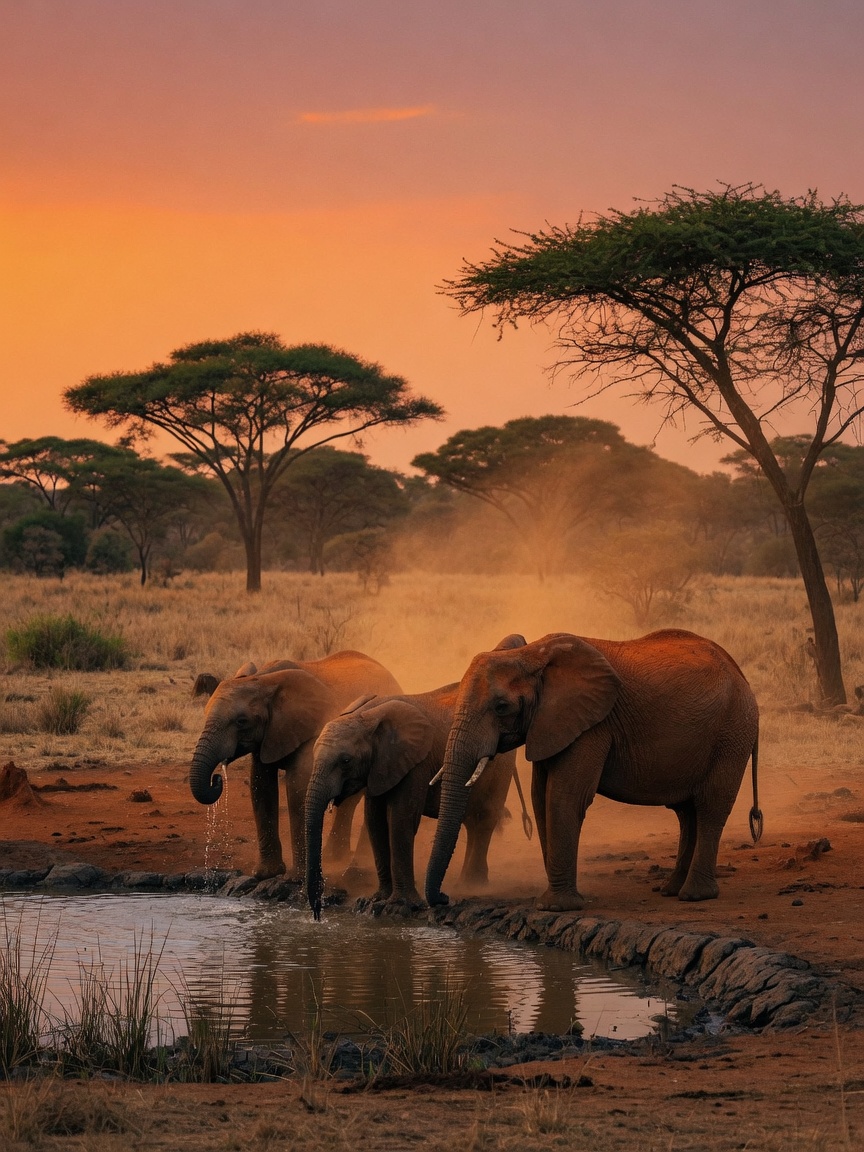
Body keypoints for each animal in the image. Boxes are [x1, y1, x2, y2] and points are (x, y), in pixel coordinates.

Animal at [189, 651, 401, 879]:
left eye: (241, 721)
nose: (217, 778)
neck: (263, 679)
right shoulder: (269, 733)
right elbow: (260, 784)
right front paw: (266, 874)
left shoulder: (312, 728)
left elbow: (297, 785)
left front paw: (295, 878)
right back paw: (333, 858)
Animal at [305, 635, 531, 918]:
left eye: (345, 761)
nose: (317, 911)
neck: (369, 715)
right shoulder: (381, 767)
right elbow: (375, 820)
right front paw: (373, 901)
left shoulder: (415, 764)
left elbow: (400, 820)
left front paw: (399, 906)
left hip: (500, 766)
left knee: (483, 820)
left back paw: (472, 885)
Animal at [425, 629, 761, 912]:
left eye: (501, 707)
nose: (444, 898)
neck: (532, 654)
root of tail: (742, 677)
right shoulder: (550, 723)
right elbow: (540, 798)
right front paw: (555, 900)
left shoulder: (591, 726)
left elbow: (564, 797)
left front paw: (556, 907)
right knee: (686, 812)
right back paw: (670, 890)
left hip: (732, 734)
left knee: (710, 807)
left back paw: (694, 896)